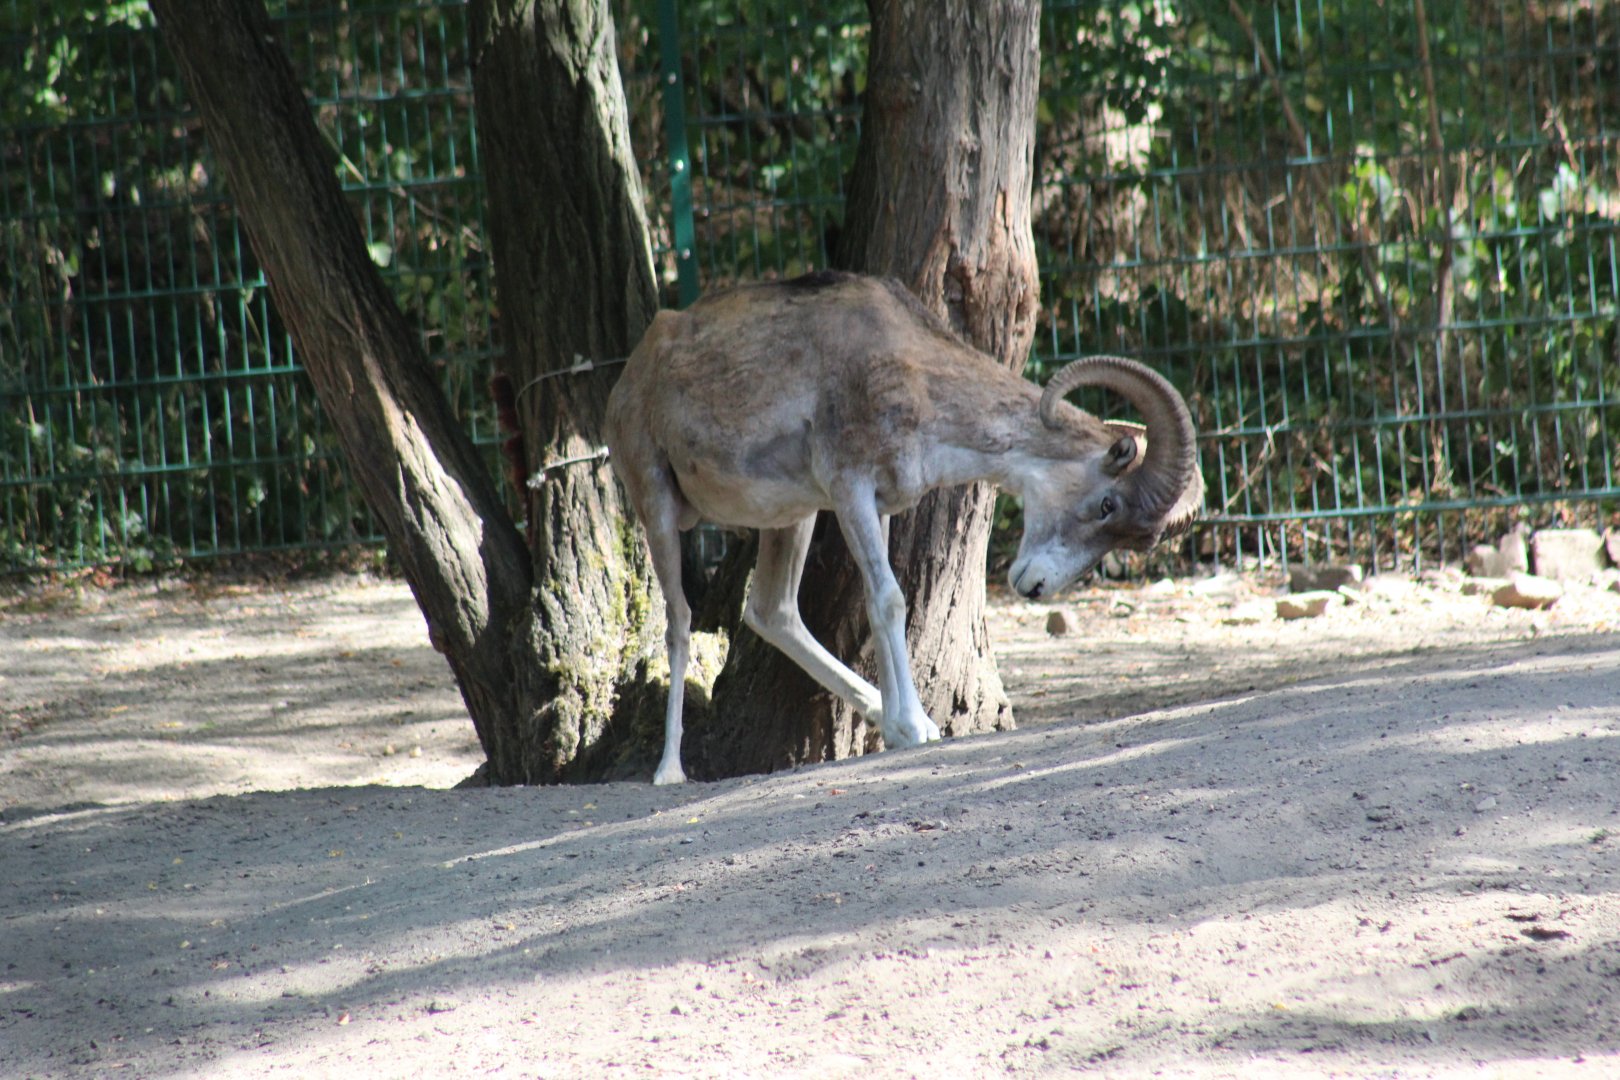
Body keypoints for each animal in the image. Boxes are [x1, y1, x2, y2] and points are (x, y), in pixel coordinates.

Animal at [605, 271, 1202, 784]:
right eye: (1107, 504)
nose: (1035, 586)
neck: (907, 372)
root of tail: (633, 374)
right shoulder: (849, 491)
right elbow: (890, 599)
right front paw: (914, 729)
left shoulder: (879, 506)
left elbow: (883, 603)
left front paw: (904, 726)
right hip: (657, 505)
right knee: (680, 621)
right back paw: (669, 770)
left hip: (791, 518)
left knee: (771, 610)